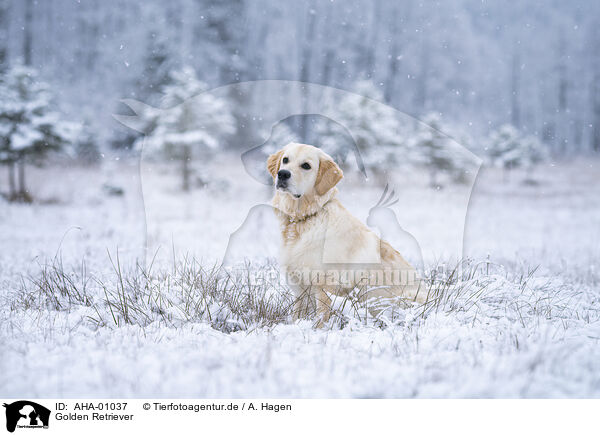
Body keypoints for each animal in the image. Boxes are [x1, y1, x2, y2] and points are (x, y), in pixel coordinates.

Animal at [268, 143, 426, 328]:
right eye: (285, 160)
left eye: (306, 165)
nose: (283, 174)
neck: (303, 219)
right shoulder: (299, 288)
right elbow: (296, 316)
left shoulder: (324, 287)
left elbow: (320, 319)